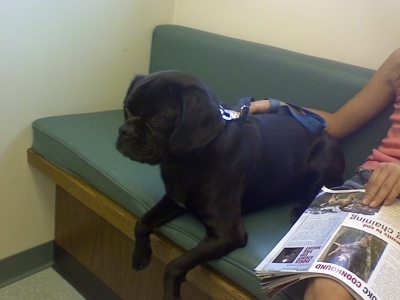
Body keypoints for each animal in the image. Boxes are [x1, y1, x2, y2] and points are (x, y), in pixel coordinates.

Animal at [115, 69, 344, 298]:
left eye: (158, 118)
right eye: (127, 108)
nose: (125, 130)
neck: (186, 161)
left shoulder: (228, 234)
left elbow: (175, 264)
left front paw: (171, 293)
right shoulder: (174, 201)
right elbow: (142, 221)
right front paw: (140, 254)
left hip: (320, 164)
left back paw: (300, 209)